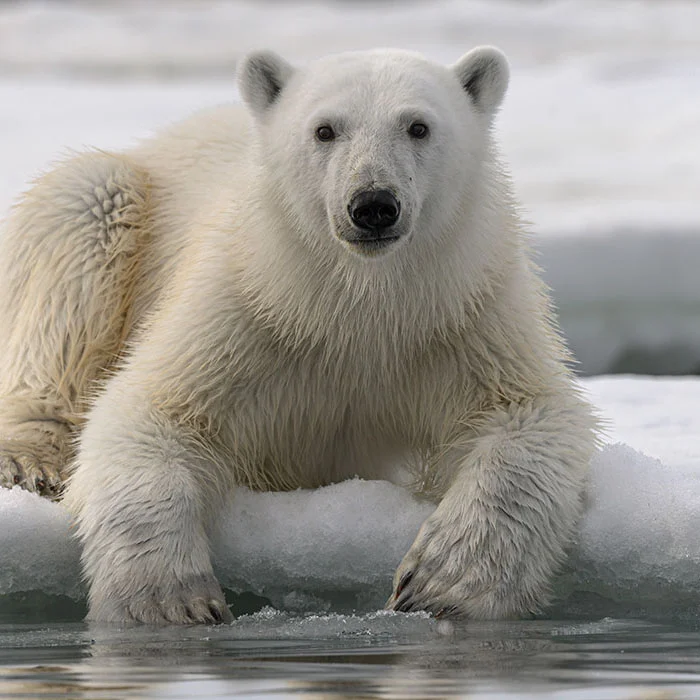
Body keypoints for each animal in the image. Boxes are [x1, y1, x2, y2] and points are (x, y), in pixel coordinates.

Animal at [0, 46, 598, 624]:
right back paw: (28, 460)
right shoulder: (247, 306)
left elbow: (527, 413)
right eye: (325, 129)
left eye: (418, 126)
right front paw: (171, 600)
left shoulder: (463, 312)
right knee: (84, 209)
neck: (358, 306)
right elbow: (150, 411)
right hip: (115, 210)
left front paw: (439, 585)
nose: (373, 205)